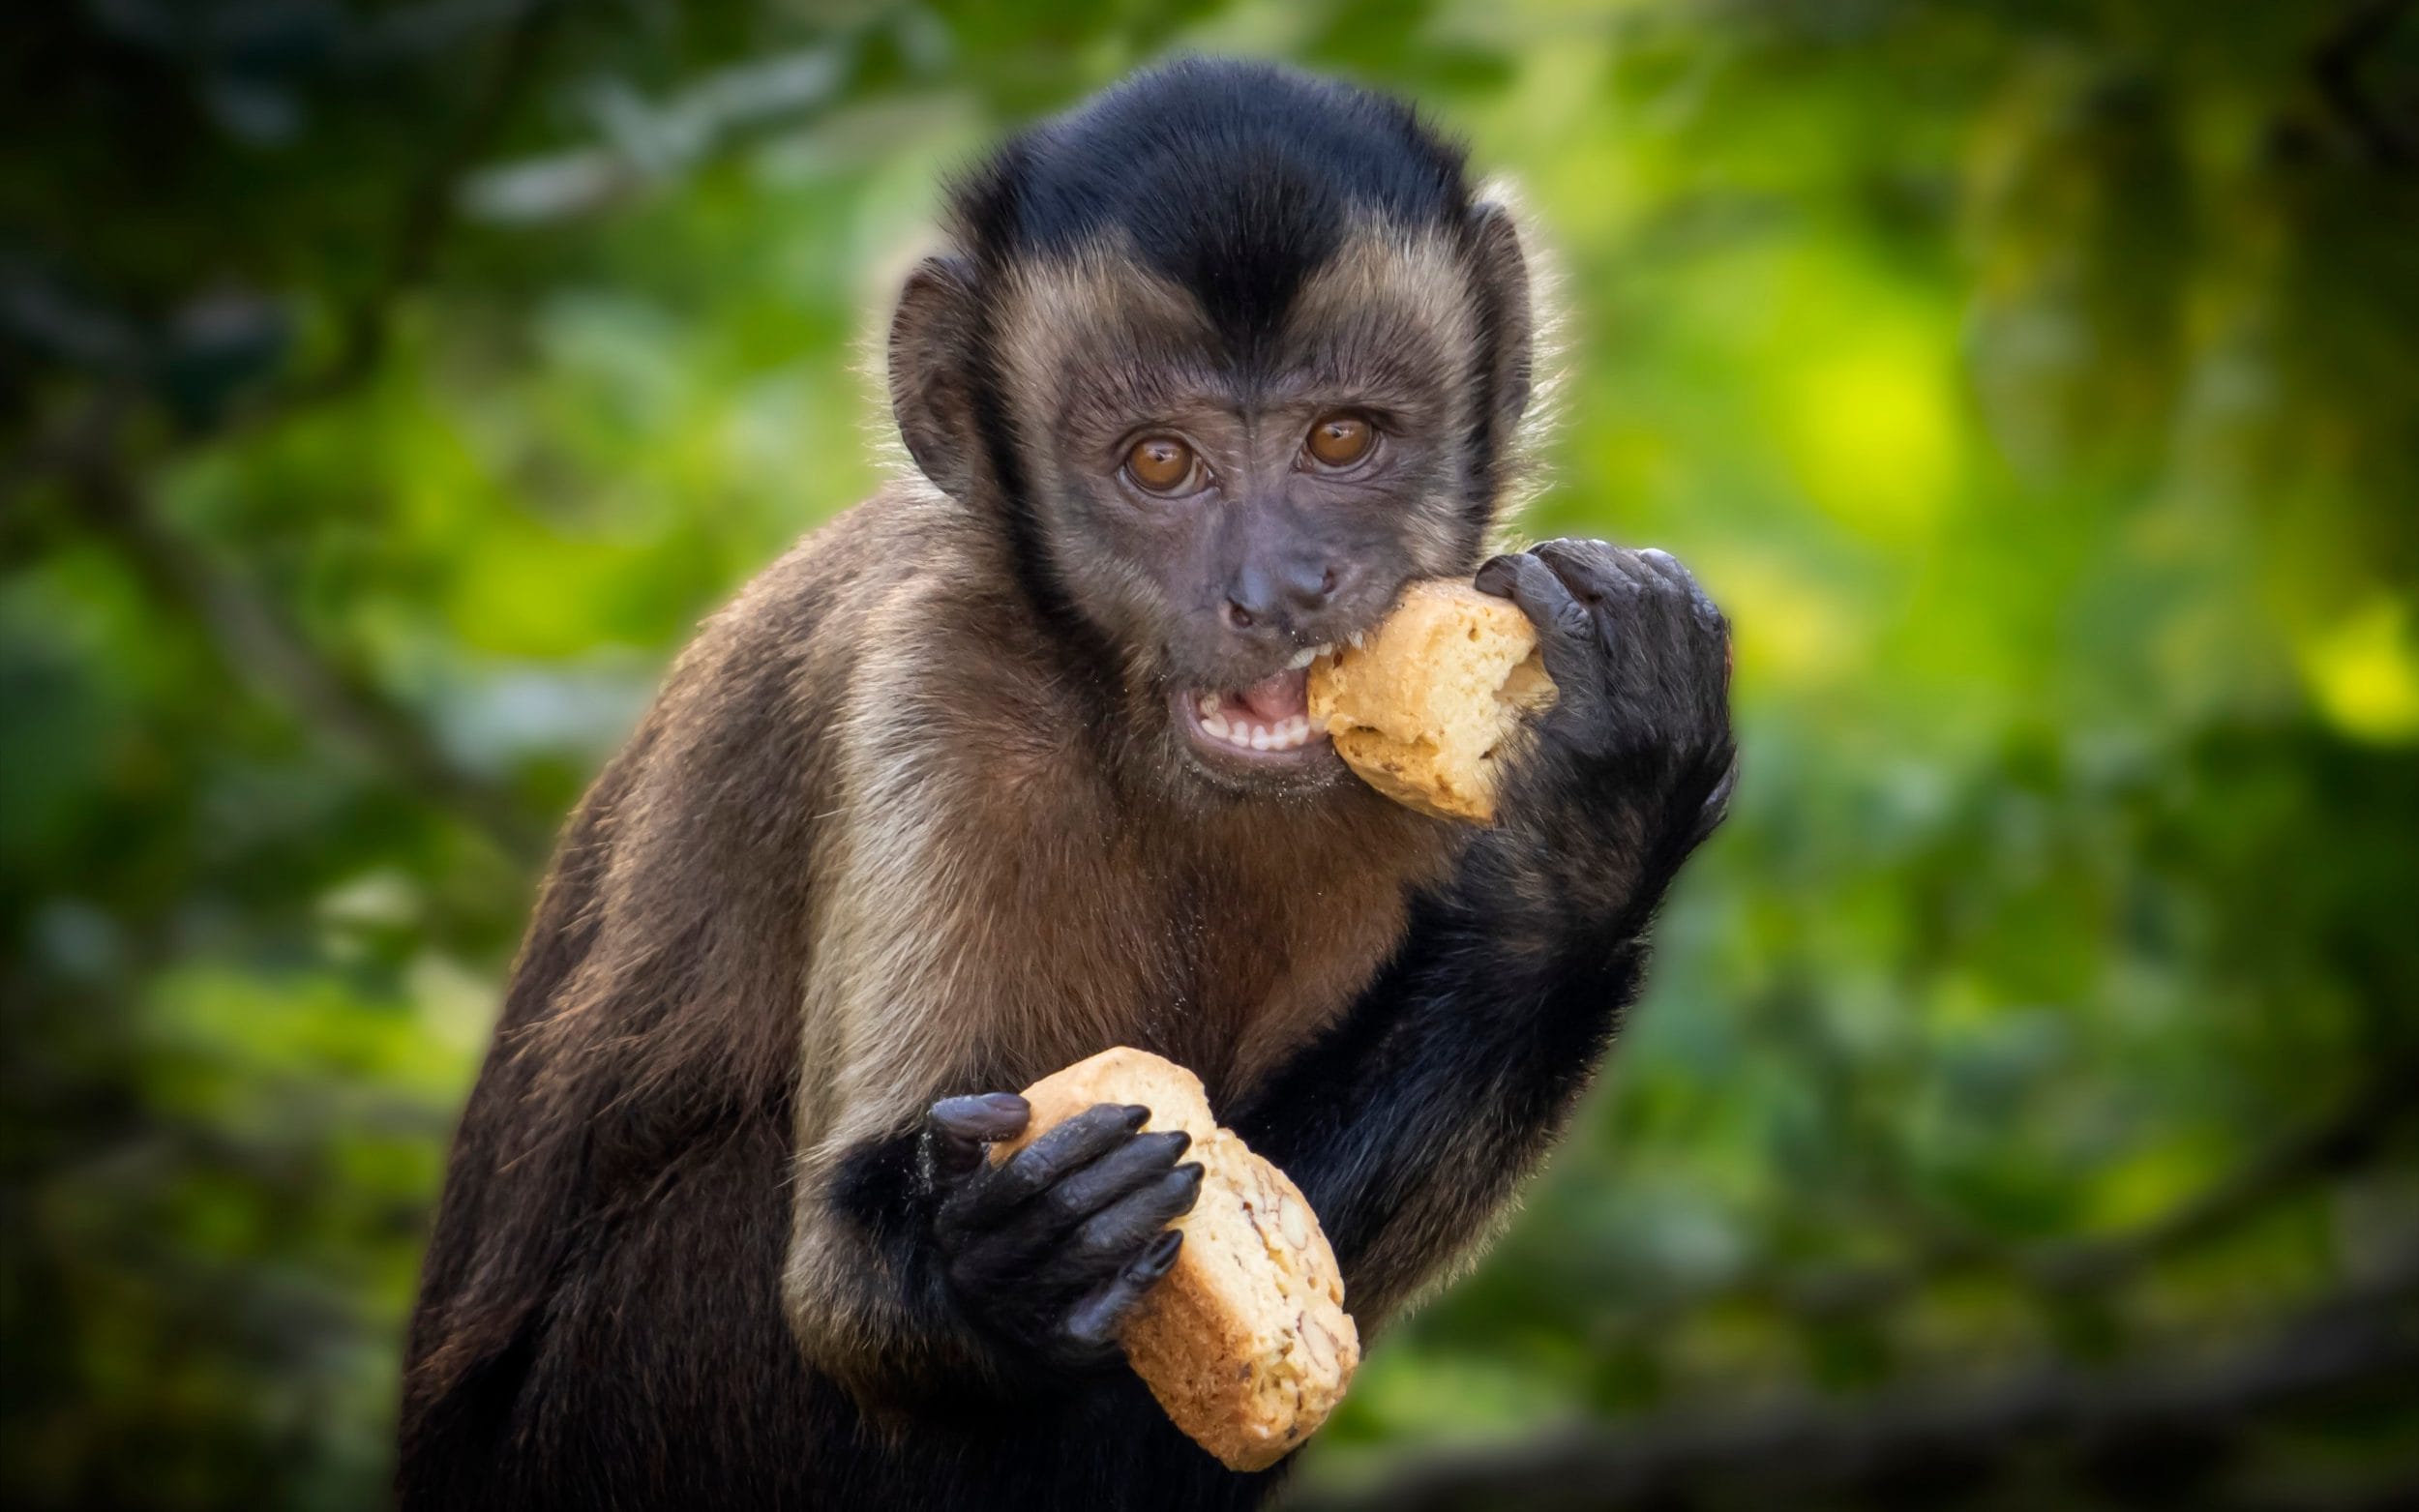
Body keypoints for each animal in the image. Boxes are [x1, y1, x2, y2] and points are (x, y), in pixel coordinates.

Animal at [398, 57, 1734, 1512]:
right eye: (1159, 461)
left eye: (1340, 439)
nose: (1278, 589)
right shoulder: (933, 690)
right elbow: (844, 1289)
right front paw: (1010, 1258)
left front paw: (1597, 829)